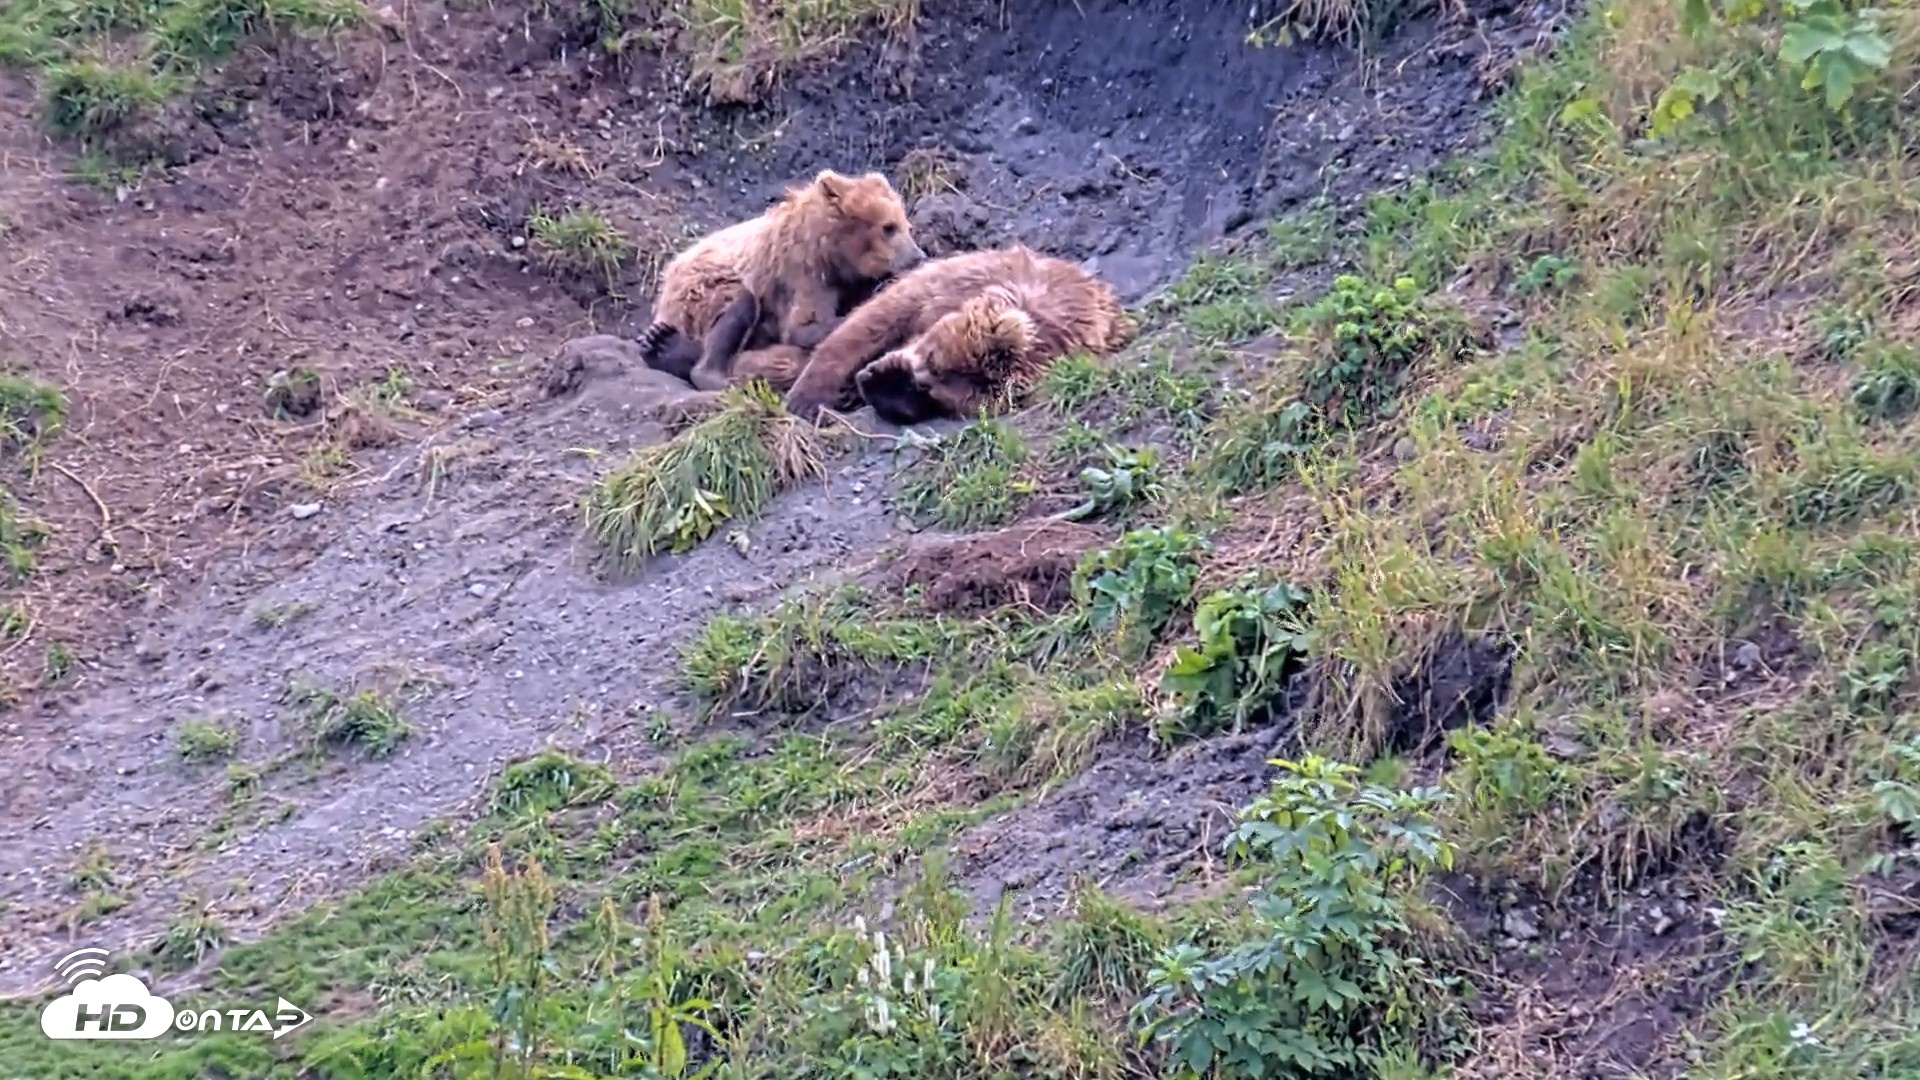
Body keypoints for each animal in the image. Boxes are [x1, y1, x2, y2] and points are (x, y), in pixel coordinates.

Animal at [635, 169, 925, 393]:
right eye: (888, 227)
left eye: (907, 226)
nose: (918, 256)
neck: (834, 251)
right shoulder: (804, 272)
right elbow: (801, 327)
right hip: (700, 290)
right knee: (740, 304)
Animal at [779, 245, 1136, 424]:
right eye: (932, 357)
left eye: (933, 390)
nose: (871, 380)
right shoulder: (946, 285)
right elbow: (867, 325)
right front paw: (805, 398)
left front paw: (889, 386)